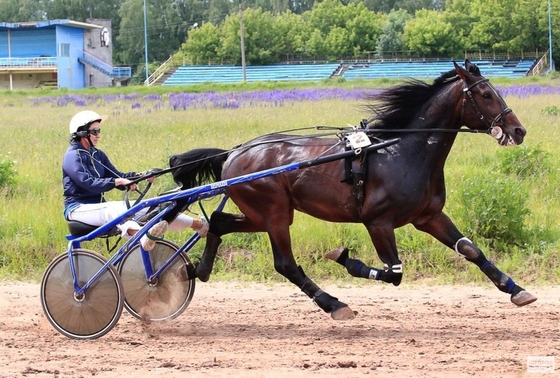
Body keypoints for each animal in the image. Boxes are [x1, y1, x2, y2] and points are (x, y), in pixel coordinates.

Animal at [168, 60, 536, 320]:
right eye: (486, 94)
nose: (518, 130)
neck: (404, 151)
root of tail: (234, 152)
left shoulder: (429, 216)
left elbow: (469, 249)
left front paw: (515, 289)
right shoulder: (378, 222)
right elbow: (393, 273)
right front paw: (344, 258)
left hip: (262, 214)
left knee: (218, 224)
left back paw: (198, 270)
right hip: (273, 213)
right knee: (285, 264)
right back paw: (334, 304)